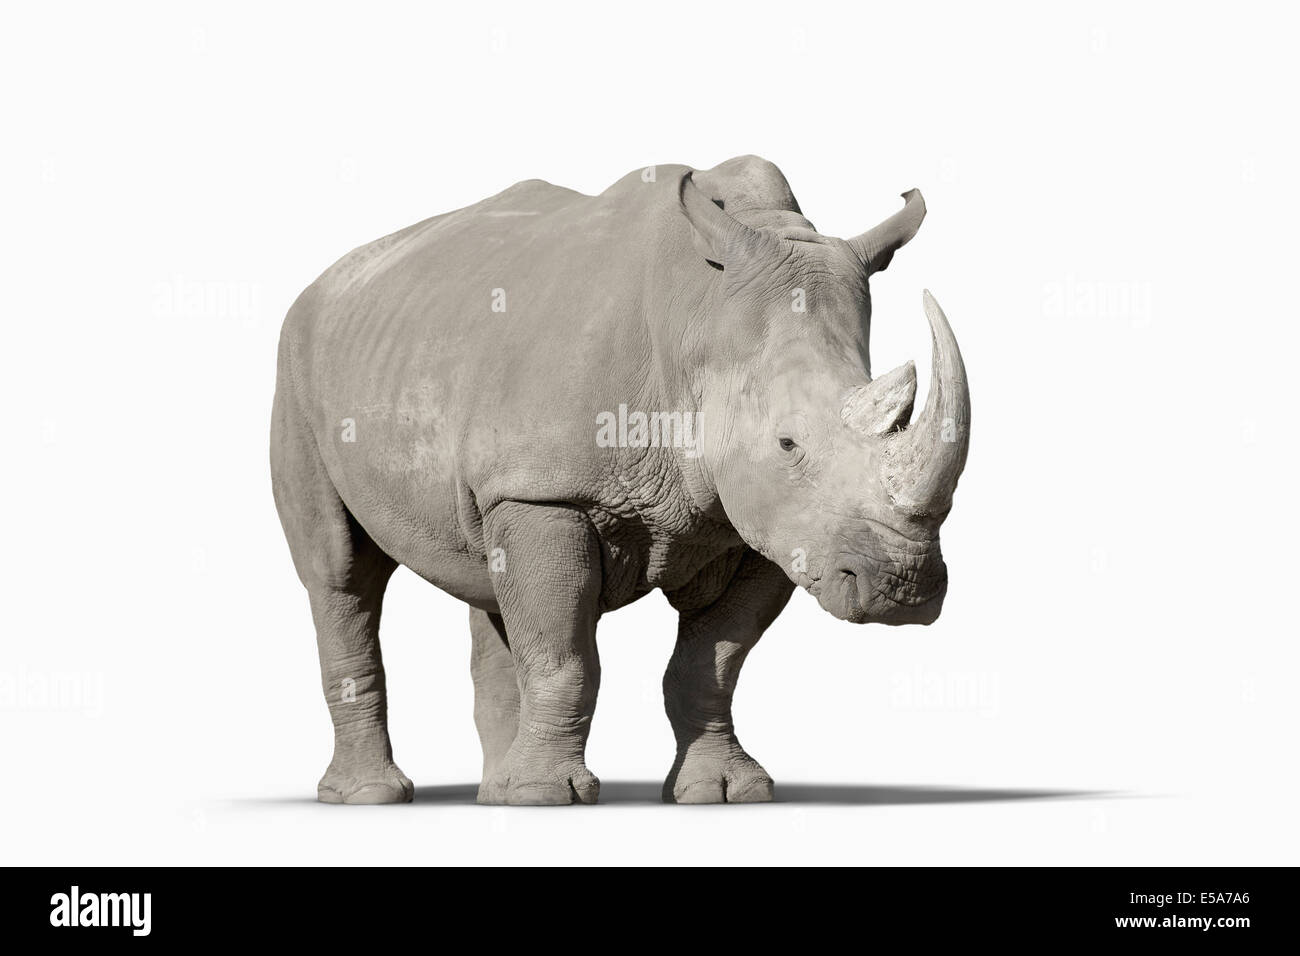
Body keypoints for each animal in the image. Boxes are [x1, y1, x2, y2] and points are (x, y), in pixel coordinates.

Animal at [270, 155, 970, 806]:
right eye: (788, 442)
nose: (905, 589)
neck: (701, 324)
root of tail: (323, 282)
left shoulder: (775, 525)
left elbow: (712, 661)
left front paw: (725, 790)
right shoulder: (545, 490)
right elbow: (564, 657)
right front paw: (547, 796)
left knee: (484, 574)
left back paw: (494, 791)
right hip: (297, 364)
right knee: (340, 574)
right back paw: (374, 795)